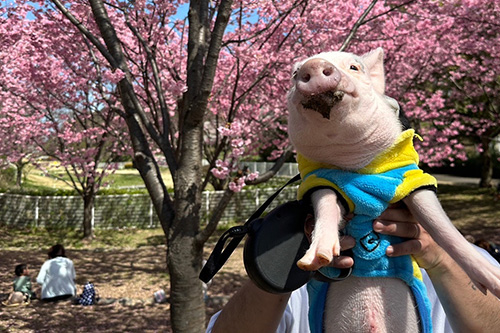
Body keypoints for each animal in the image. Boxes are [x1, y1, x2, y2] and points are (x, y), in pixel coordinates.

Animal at [288, 48, 500, 330]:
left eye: (354, 67)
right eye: (293, 74)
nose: (313, 65)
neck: (357, 168)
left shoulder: (410, 177)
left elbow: (439, 224)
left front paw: (495, 282)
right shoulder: (318, 179)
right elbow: (326, 203)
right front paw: (315, 259)